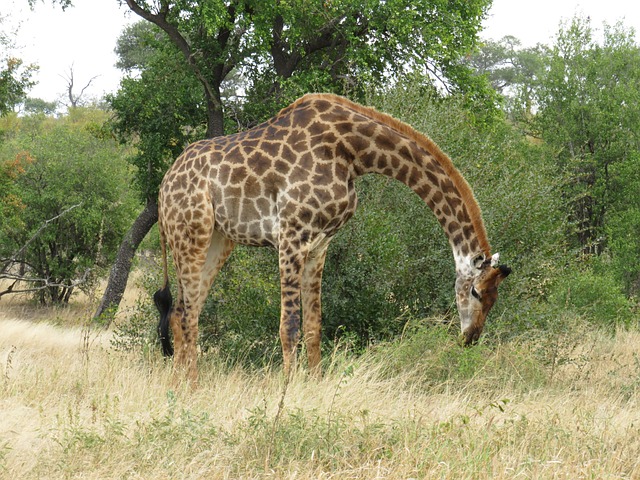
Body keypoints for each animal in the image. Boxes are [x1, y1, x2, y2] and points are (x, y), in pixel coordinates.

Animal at [154, 93, 511, 384]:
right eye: (476, 292)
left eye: (495, 300)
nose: (471, 338)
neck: (353, 152)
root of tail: (163, 187)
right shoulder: (292, 235)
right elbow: (289, 326)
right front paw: (285, 393)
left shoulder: (319, 243)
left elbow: (314, 326)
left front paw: (313, 387)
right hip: (191, 233)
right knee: (185, 315)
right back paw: (192, 389)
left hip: (218, 240)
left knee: (182, 312)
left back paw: (180, 388)